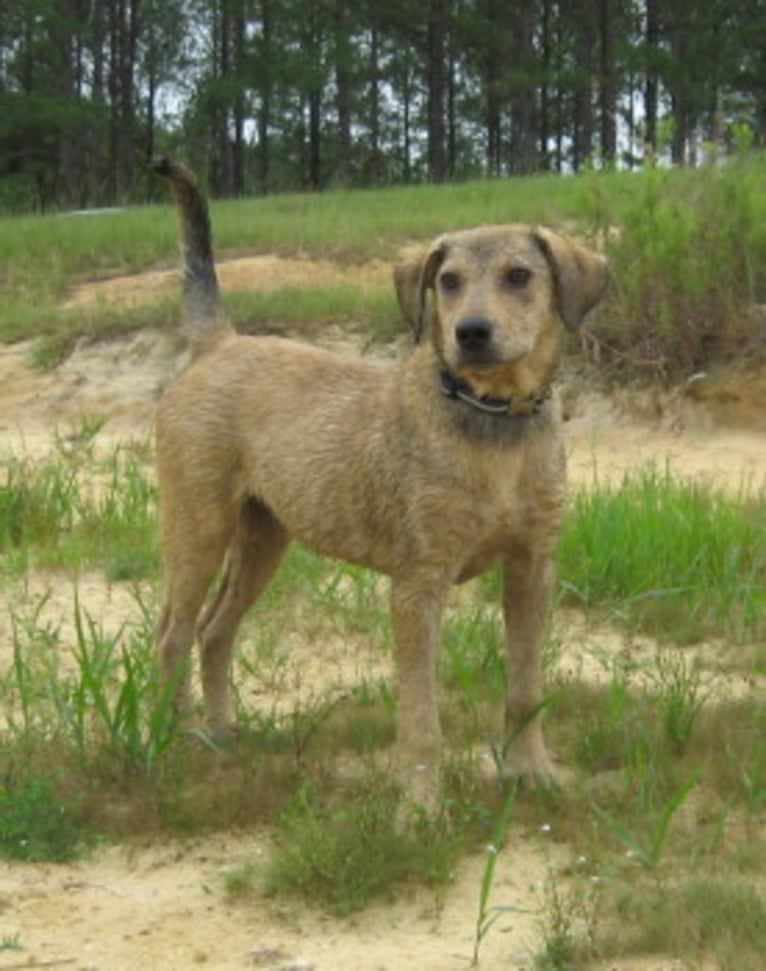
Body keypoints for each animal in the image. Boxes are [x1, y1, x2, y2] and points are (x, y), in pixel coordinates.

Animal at [152, 159, 608, 808]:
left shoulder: (531, 569)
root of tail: (221, 343)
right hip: (198, 529)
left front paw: (533, 774)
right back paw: (175, 740)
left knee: (214, 632)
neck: (494, 419)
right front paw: (419, 808)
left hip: (263, 538)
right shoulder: (418, 585)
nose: (471, 332)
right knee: (173, 635)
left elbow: (525, 689)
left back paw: (222, 735)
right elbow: (421, 716)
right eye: (448, 281)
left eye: (520, 276)